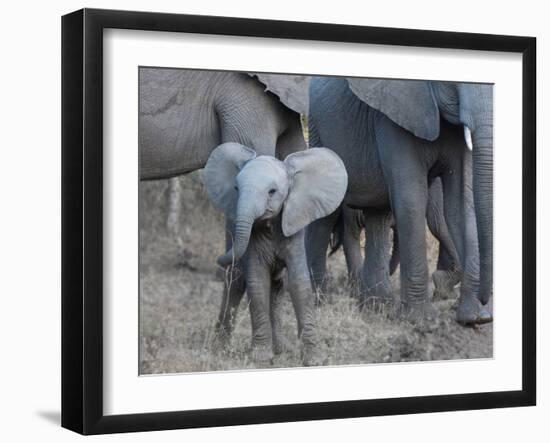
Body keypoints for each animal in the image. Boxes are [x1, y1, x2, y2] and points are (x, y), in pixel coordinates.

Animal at [205, 144, 348, 366]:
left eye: (272, 192)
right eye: (236, 189)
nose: (219, 259)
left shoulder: (294, 229)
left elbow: (298, 282)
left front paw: (314, 360)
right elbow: (257, 282)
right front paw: (260, 357)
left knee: (278, 287)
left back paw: (282, 349)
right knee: (249, 283)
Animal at [308, 77, 494, 326]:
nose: (485, 300)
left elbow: (461, 203)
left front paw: (476, 318)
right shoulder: (394, 115)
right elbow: (411, 198)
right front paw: (423, 321)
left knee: (377, 214)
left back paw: (377, 306)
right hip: (318, 131)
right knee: (327, 212)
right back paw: (319, 299)